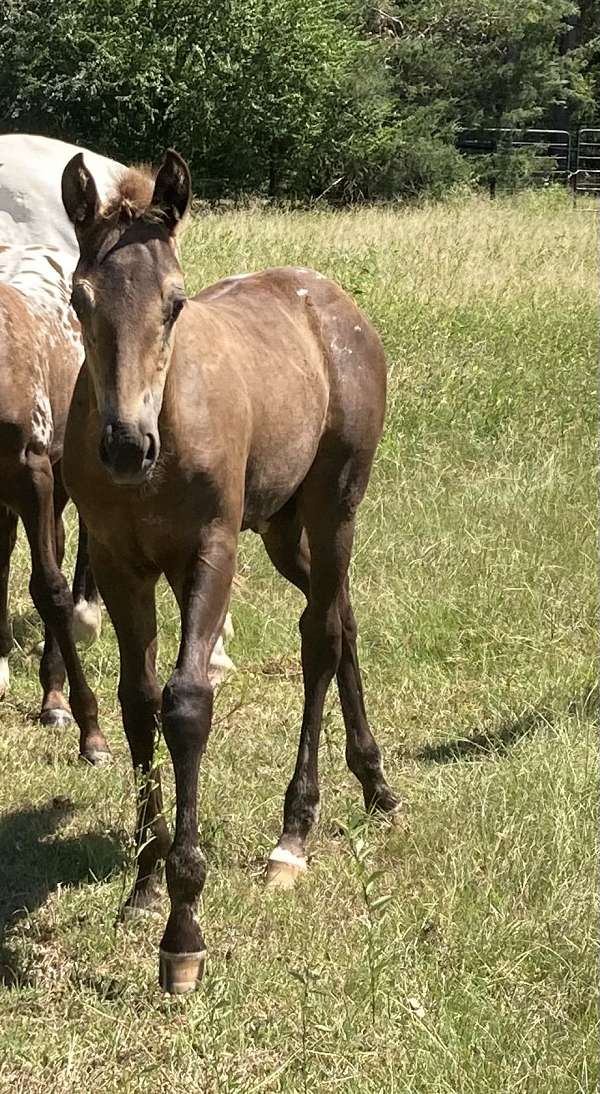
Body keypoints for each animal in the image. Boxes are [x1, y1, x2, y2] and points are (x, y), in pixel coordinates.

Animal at [61, 149, 400, 997]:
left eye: (176, 303)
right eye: (79, 298)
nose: (126, 445)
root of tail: (331, 299)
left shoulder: (211, 554)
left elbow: (187, 704)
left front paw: (183, 933)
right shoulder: (119, 563)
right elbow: (139, 702)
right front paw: (144, 886)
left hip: (334, 505)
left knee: (320, 635)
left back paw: (294, 835)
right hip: (281, 529)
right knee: (341, 616)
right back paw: (375, 784)